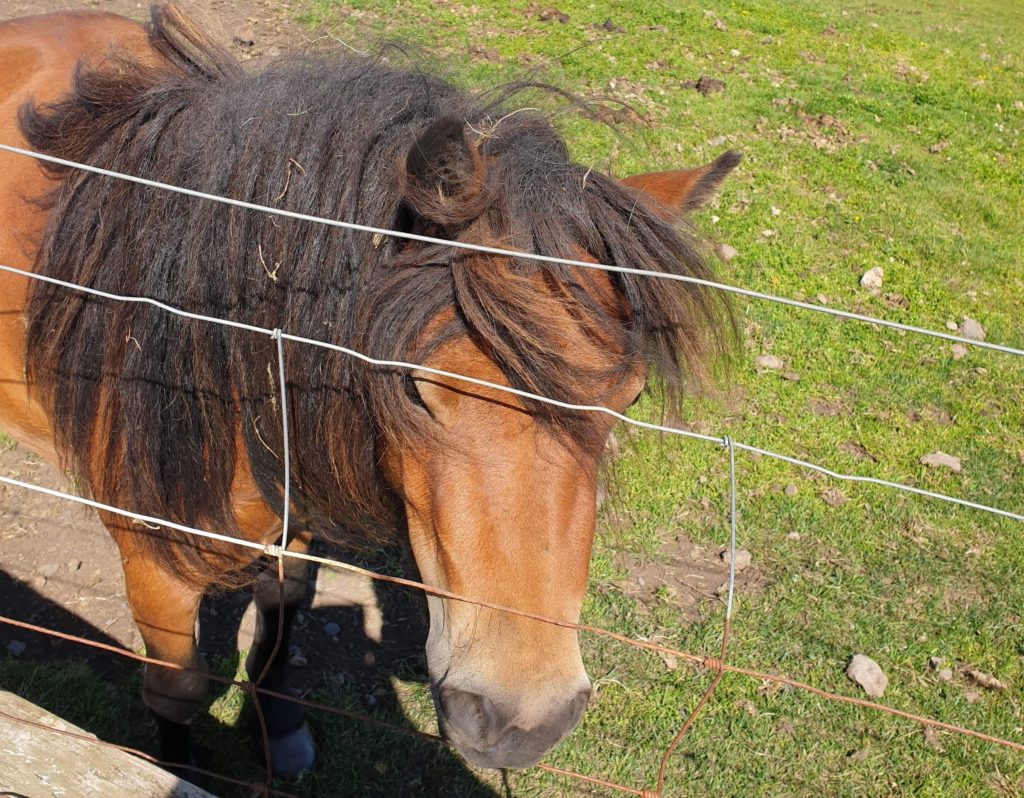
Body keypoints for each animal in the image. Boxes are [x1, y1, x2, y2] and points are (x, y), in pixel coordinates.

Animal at [0, 4, 741, 778]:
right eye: (415, 391)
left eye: (629, 401)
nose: (523, 722)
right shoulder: (154, 564)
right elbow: (177, 692)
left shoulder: (292, 523)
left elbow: (283, 615)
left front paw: (282, 729)